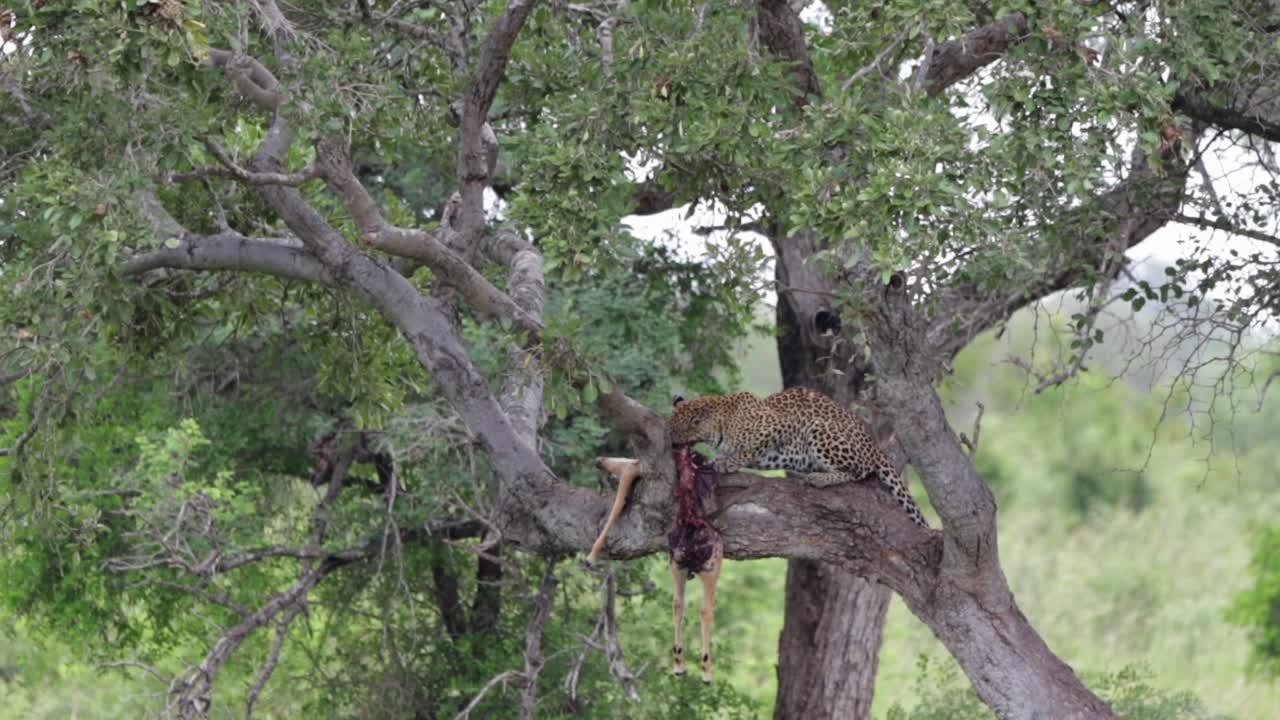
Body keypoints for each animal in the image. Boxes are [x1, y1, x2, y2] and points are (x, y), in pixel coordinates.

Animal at [667, 387, 928, 528]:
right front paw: (710, 461)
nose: (670, 442)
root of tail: (874, 445)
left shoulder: (779, 428)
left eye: (674, 431)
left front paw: (726, 463)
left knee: (860, 471)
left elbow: (747, 452)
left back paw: (819, 478)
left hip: (819, 428)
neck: (719, 426)